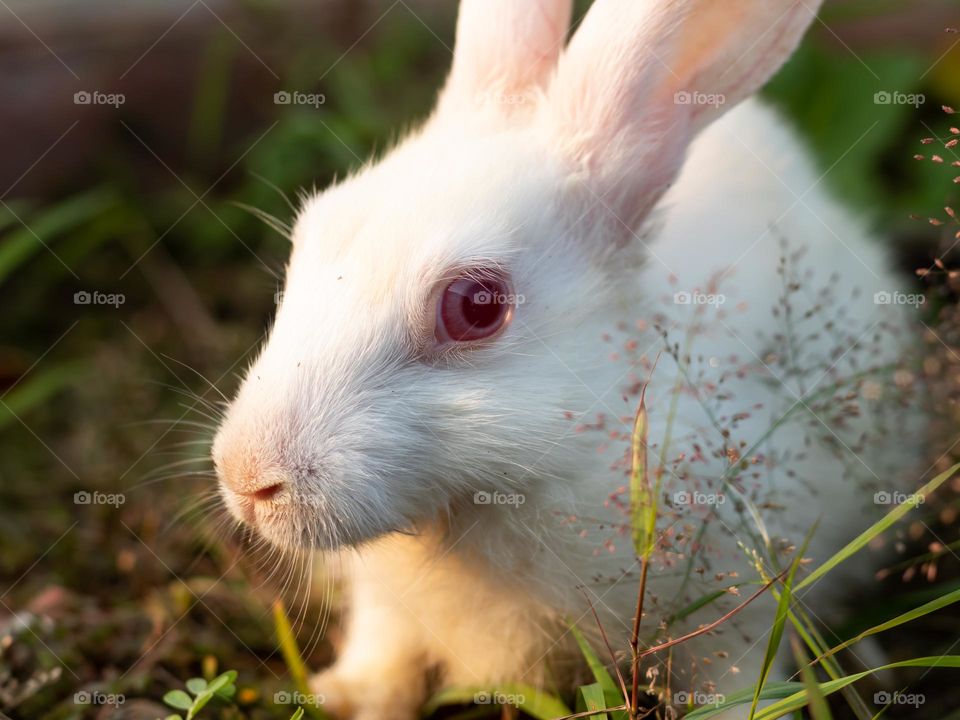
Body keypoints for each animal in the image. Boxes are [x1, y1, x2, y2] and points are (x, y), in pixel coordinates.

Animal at [211, 1, 926, 718]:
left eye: (476, 305)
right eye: (310, 234)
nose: (246, 477)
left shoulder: (739, 610)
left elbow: (739, 681)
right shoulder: (385, 605)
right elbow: (382, 649)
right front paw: (345, 696)